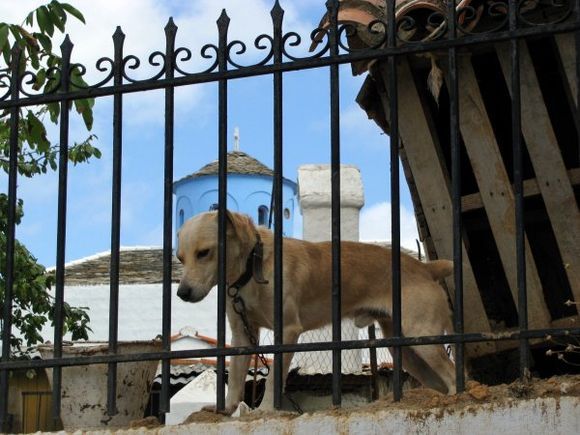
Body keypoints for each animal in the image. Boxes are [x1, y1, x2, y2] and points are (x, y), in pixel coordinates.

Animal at [177, 212, 458, 416]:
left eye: (204, 253)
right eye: (180, 258)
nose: (182, 292)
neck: (252, 267)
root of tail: (426, 268)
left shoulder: (286, 332)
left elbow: (273, 379)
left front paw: (266, 410)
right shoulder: (242, 335)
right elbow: (235, 379)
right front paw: (226, 409)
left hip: (424, 341)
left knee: (453, 374)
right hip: (410, 353)